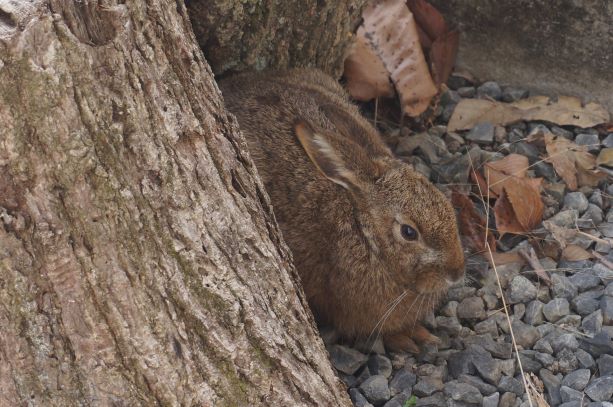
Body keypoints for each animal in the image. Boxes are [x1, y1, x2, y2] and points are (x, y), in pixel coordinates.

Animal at [220, 68, 464, 352]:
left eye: (448, 207)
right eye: (408, 232)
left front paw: (420, 335)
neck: (362, 227)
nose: (456, 273)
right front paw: (407, 339)